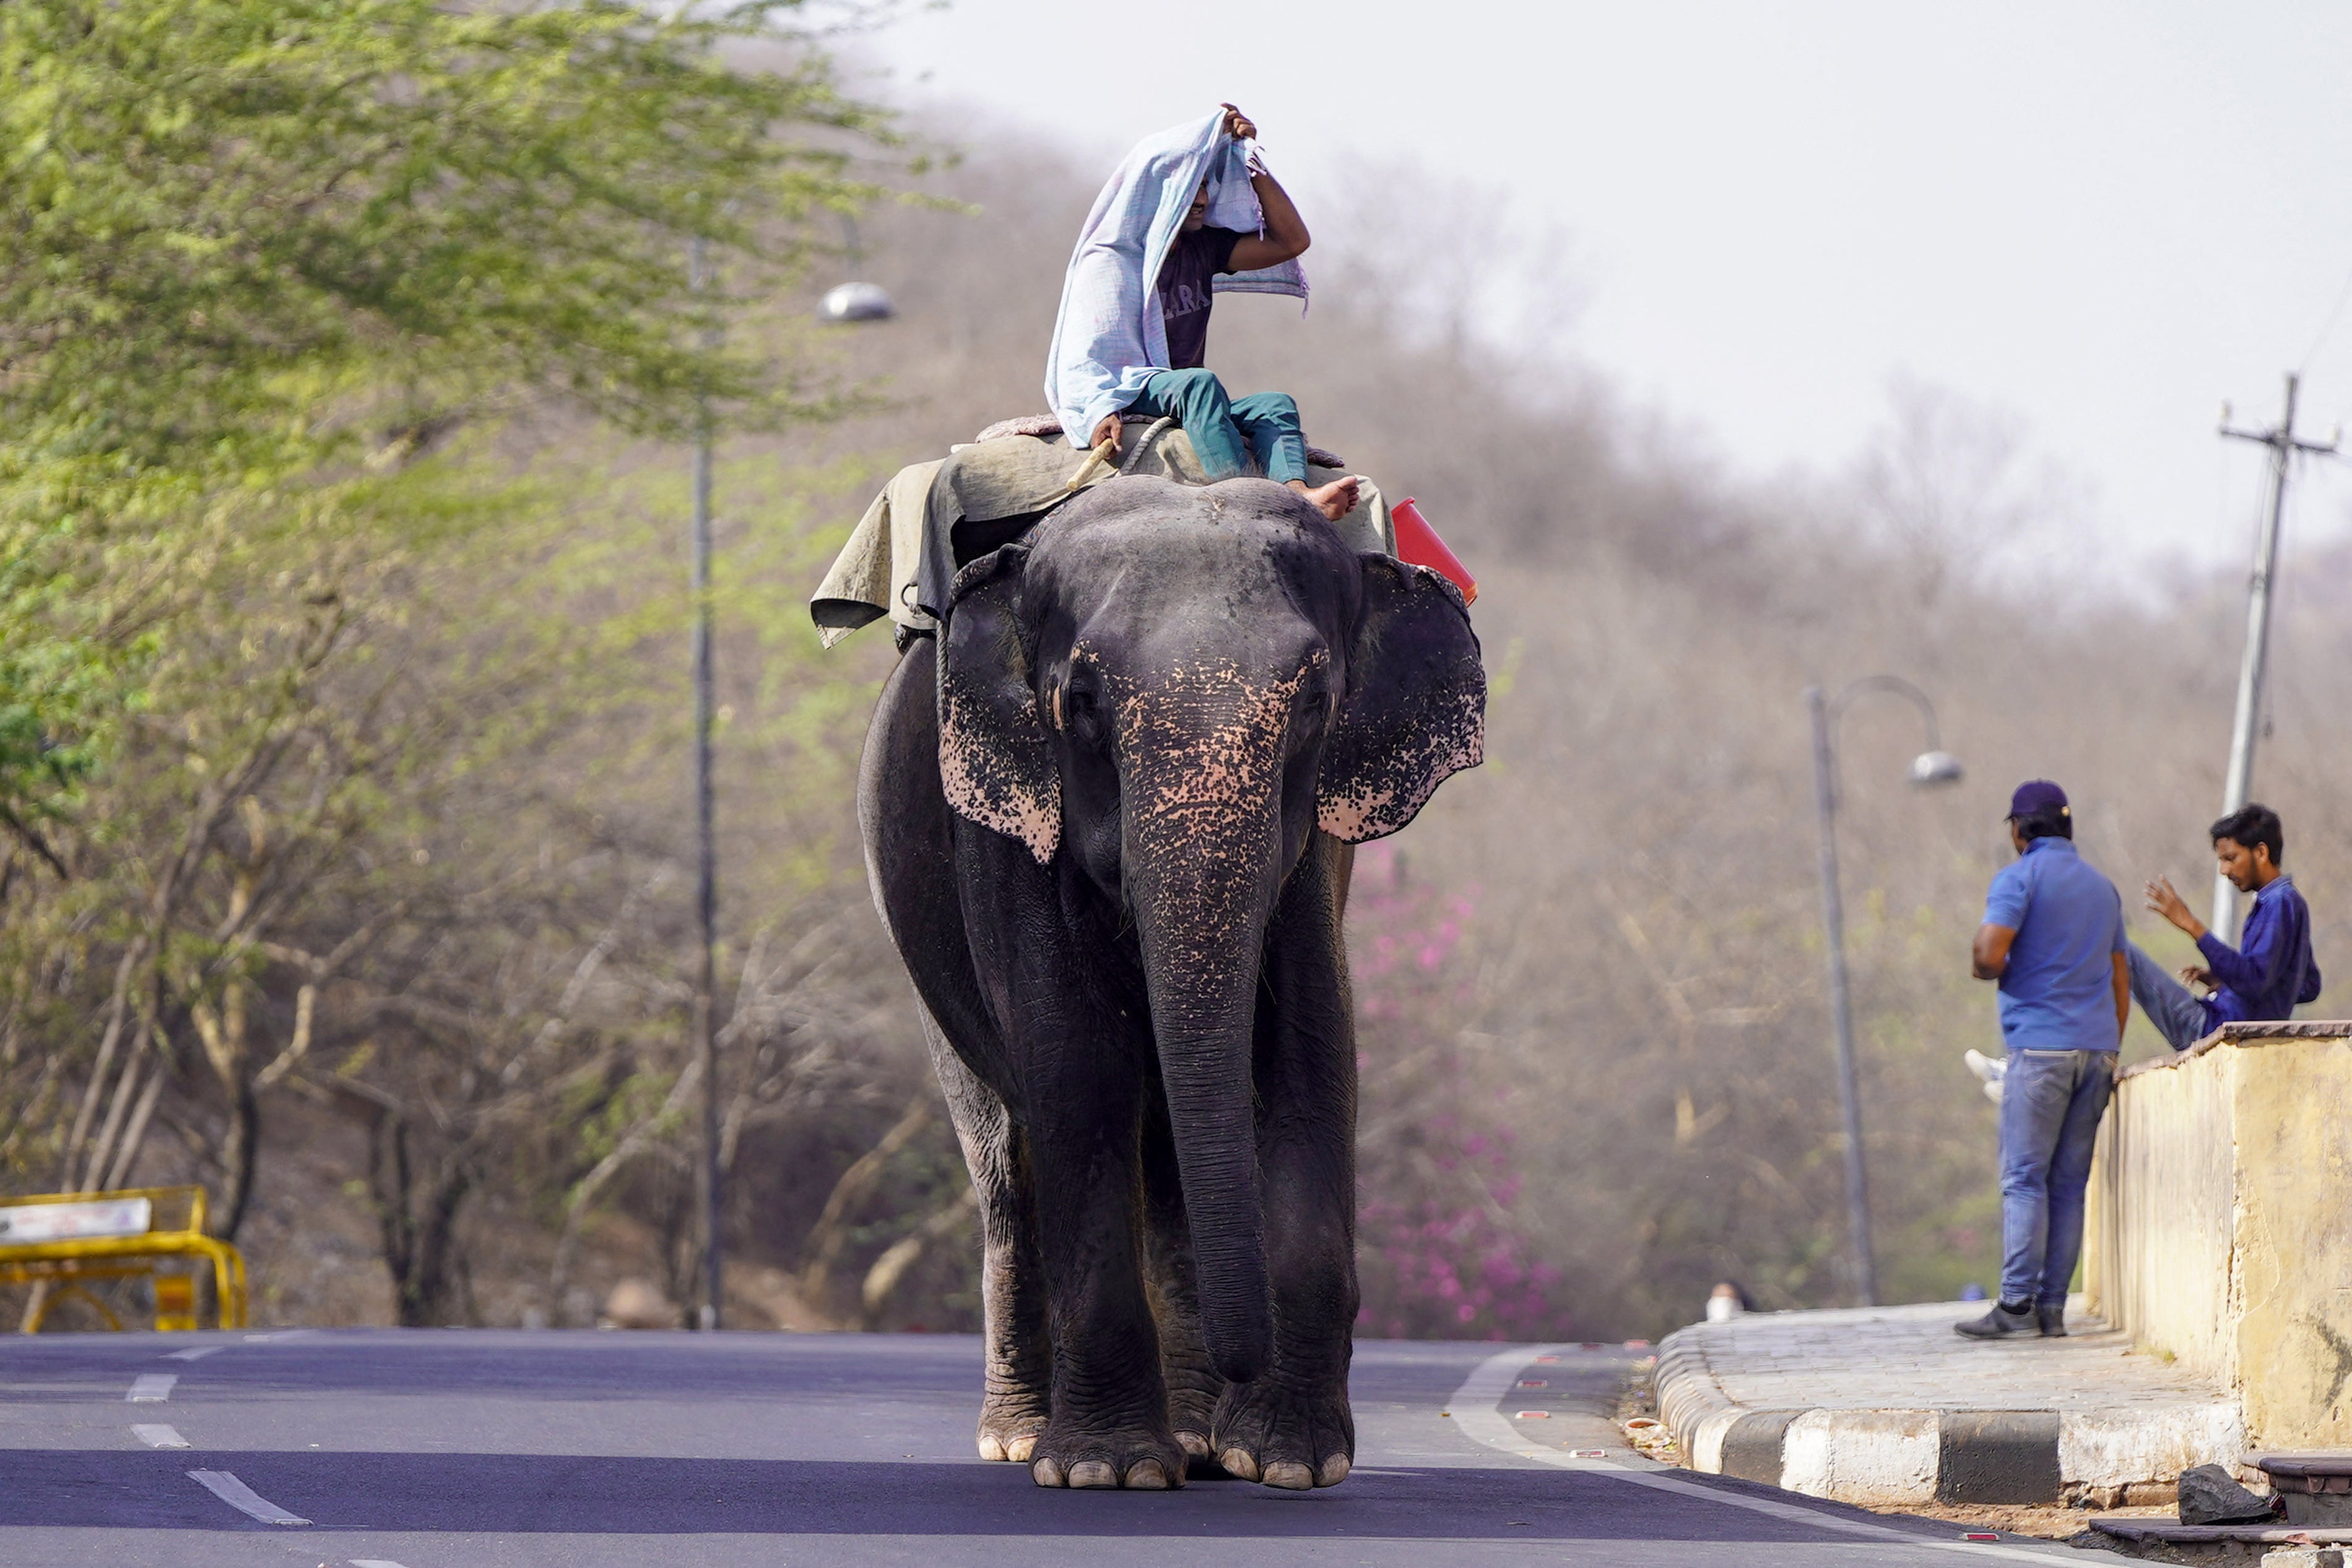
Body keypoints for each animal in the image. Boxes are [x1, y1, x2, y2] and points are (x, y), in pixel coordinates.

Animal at [861, 472, 1486, 1495]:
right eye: (1078, 701)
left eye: (1315, 703)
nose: (1242, 1361)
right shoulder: (1010, 833)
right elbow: (1076, 1070)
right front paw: (1103, 1470)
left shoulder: (1313, 858)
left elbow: (1309, 1060)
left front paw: (1286, 1462)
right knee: (1006, 1161)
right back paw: (1024, 1439)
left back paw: (1195, 1440)